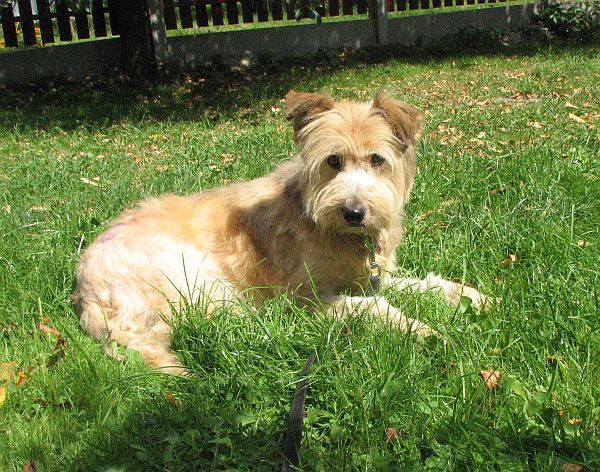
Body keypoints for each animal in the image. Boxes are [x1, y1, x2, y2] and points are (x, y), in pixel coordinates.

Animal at [72, 90, 491, 375]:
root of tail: (84, 285)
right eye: (333, 161)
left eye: (377, 160)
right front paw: (421, 329)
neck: (328, 226)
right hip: (197, 275)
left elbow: (424, 284)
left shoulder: (371, 277)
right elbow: (372, 306)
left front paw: (471, 297)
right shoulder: (304, 297)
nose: (354, 212)